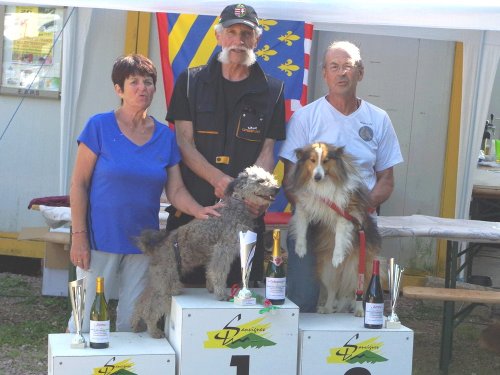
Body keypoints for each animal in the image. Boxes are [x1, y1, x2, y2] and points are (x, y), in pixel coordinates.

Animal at [131, 166, 280, 340]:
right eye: (261, 181)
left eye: (270, 178)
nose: (277, 189)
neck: (237, 205)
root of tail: (156, 247)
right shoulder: (223, 249)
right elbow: (219, 272)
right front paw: (221, 293)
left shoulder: (217, 254)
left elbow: (210, 272)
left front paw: (211, 288)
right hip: (168, 283)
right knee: (151, 309)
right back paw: (153, 330)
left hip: (158, 281)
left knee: (141, 302)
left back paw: (135, 324)